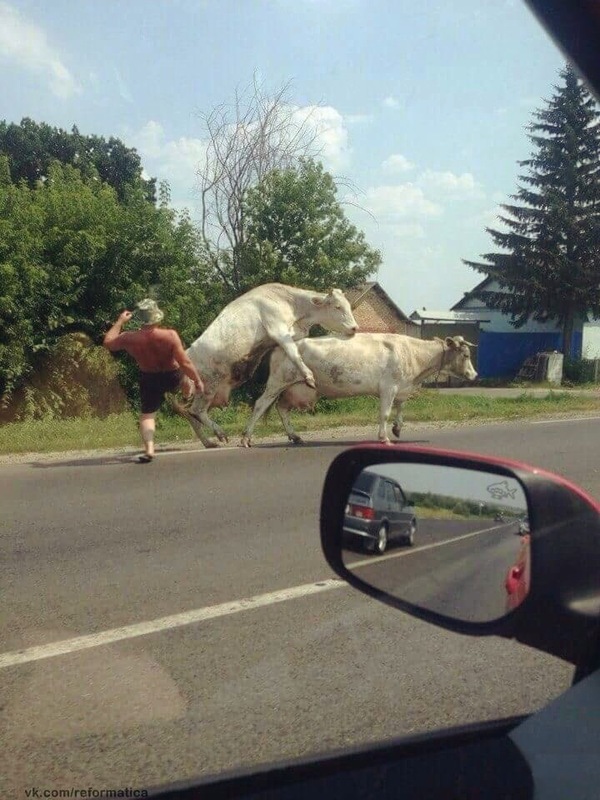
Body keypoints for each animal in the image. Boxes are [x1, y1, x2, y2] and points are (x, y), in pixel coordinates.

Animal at [170, 282, 356, 446]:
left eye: (348, 305)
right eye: (337, 307)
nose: (355, 327)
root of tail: (187, 354)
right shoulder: (278, 331)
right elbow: (293, 353)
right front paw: (308, 376)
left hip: (211, 393)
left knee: (191, 415)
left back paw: (209, 443)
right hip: (209, 385)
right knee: (196, 411)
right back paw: (220, 433)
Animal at [239, 330, 478, 444]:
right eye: (466, 355)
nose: (474, 375)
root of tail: (280, 345)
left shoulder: (402, 387)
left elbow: (400, 408)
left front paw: (397, 428)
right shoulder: (389, 387)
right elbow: (385, 413)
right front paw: (384, 437)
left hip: (296, 388)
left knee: (282, 408)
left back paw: (295, 437)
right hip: (277, 382)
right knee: (260, 405)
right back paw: (246, 438)